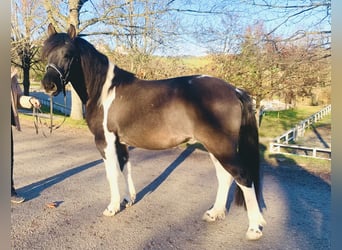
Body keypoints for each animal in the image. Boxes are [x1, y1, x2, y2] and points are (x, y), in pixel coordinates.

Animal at [40, 23, 268, 240]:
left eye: (68, 54)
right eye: (46, 53)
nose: (49, 85)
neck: (104, 92)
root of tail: (234, 90)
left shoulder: (105, 141)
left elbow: (112, 173)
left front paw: (112, 208)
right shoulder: (121, 142)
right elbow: (125, 169)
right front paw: (127, 200)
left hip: (221, 146)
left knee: (243, 177)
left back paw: (254, 229)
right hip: (214, 146)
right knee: (225, 176)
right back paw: (215, 213)